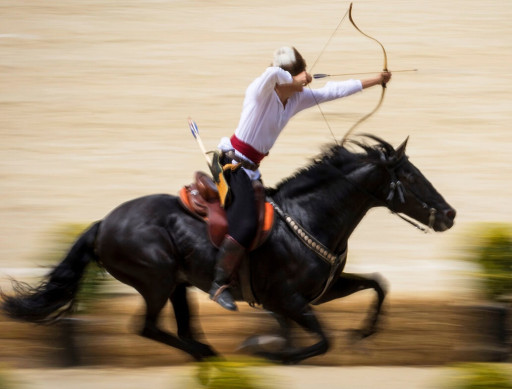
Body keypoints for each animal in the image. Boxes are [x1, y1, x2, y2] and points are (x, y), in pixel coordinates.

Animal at [1, 134, 456, 364]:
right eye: (411, 177)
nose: (449, 214)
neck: (309, 218)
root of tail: (102, 225)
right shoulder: (287, 299)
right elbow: (319, 341)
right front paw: (268, 351)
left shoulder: (321, 291)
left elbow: (378, 284)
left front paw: (363, 333)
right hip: (156, 280)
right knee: (147, 327)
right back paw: (210, 354)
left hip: (177, 285)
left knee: (180, 329)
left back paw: (207, 353)